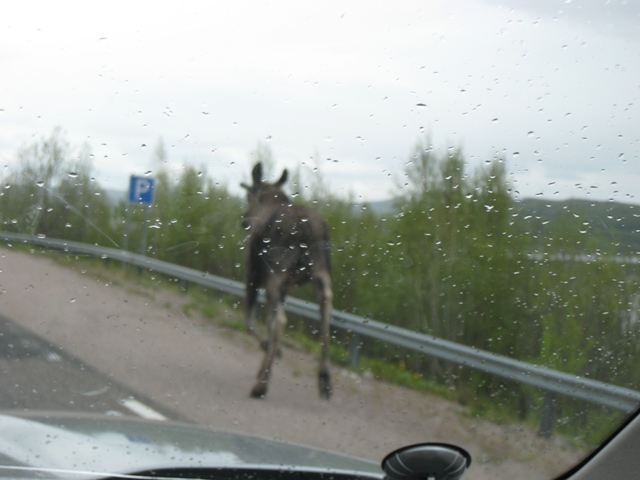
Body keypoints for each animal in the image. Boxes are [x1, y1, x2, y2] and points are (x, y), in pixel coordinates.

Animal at [241, 162, 333, 399]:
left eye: (249, 194)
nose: (243, 220)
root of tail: (305, 228)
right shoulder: (285, 289)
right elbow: (267, 323)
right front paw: (270, 356)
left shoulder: (254, 277)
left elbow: (251, 321)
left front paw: (268, 350)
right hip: (321, 273)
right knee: (326, 308)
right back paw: (324, 378)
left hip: (275, 275)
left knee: (281, 320)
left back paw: (261, 386)